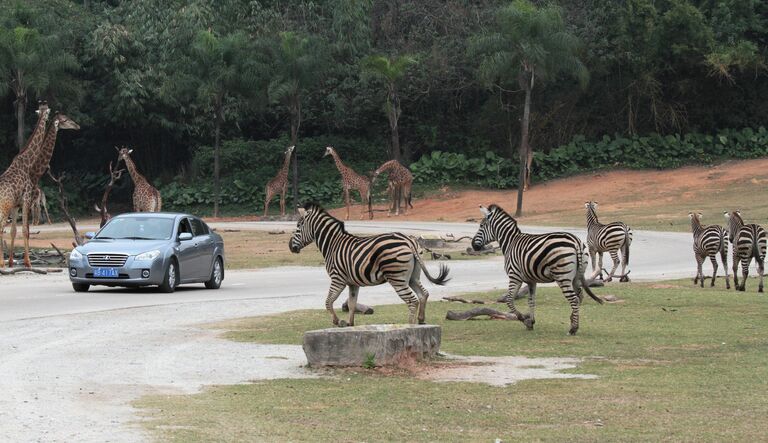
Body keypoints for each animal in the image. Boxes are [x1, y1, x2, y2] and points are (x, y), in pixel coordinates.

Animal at [0, 103, 50, 268]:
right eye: (48, 113)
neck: (26, 162)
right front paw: (28, 262)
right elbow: (24, 230)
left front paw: (11, 262)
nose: (47, 119)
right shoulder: (26, 200)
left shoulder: (16, 205)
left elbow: (14, 230)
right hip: (4, 208)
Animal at [288, 204, 448, 326]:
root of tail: (408, 241)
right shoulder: (352, 283)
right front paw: (350, 324)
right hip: (412, 276)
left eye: (298, 226)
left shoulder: (337, 278)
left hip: (397, 278)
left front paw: (338, 321)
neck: (333, 244)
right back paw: (421, 321)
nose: (290, 247)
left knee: (412, 300)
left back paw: (410, 326)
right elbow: (352, 304)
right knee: (423, 294)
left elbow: (328, 302)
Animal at [472, 205, 604, 336]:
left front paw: (524, 320)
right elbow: (531, 301)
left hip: (562, 276)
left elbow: (509, 300)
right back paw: (572, 320)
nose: (473, 245)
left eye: (481, 226)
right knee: (580, 296)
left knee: (574, 299)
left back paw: (573, 329)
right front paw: (531, 321)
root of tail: (576, 242)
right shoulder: (531, 280)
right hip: (576, 275)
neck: (510, 242)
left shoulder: (514, 276)